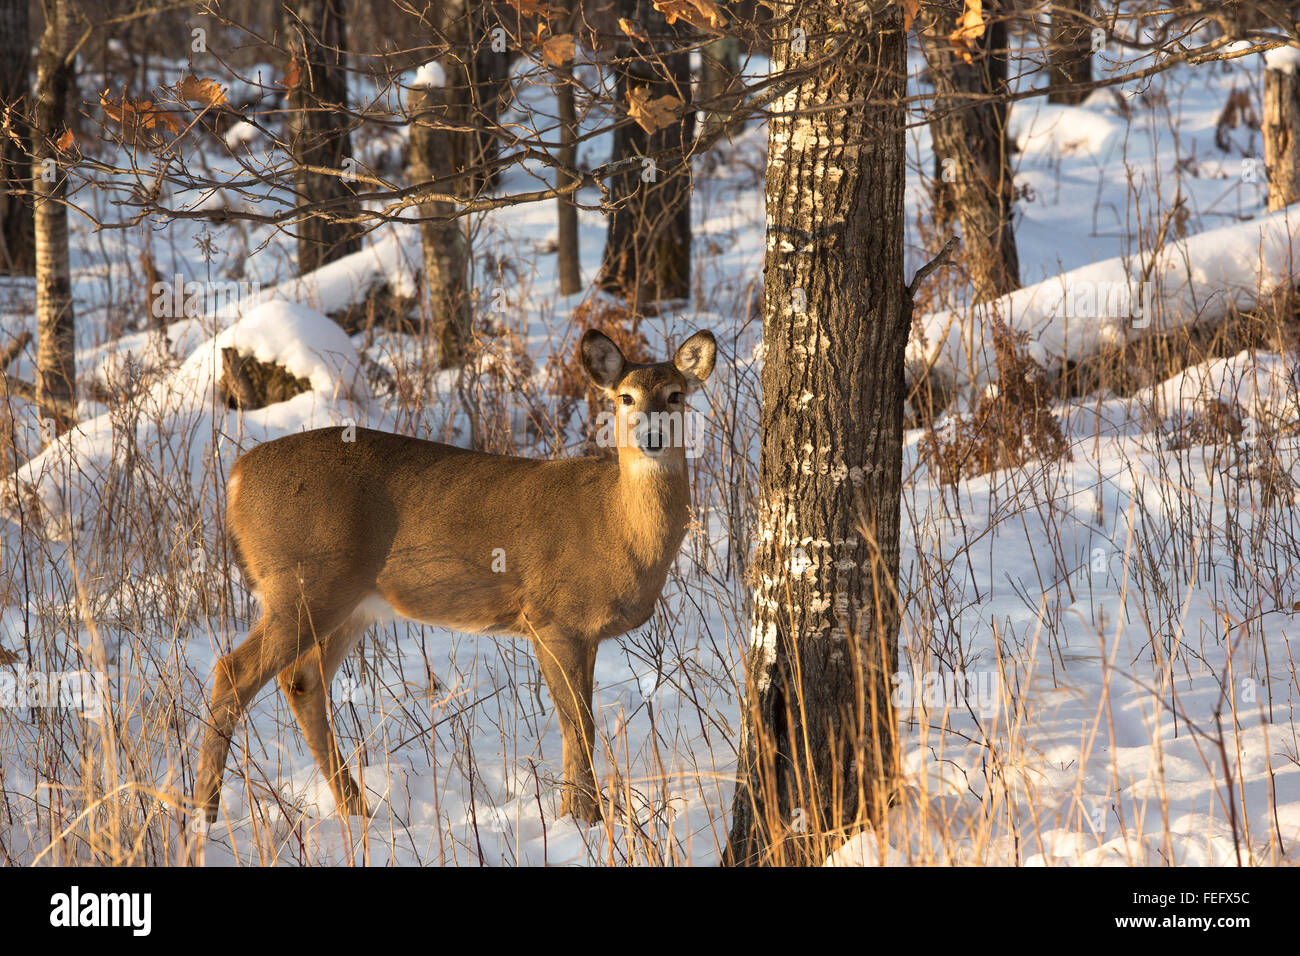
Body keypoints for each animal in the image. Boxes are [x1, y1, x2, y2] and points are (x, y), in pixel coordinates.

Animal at [195, 329, 712, 822]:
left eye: (676, 395)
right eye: (625, 397)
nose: (652, 436)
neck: (616, 528)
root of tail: (237, 476)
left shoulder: (584, 634)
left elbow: (579, 722)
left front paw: (577, 812)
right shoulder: (553, 619)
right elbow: (578, 723)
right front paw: (584, 818)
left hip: (349, 604)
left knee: (301, 681)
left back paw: (356, 811)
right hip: (302, 585)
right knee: (233, 672)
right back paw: (204, 812)